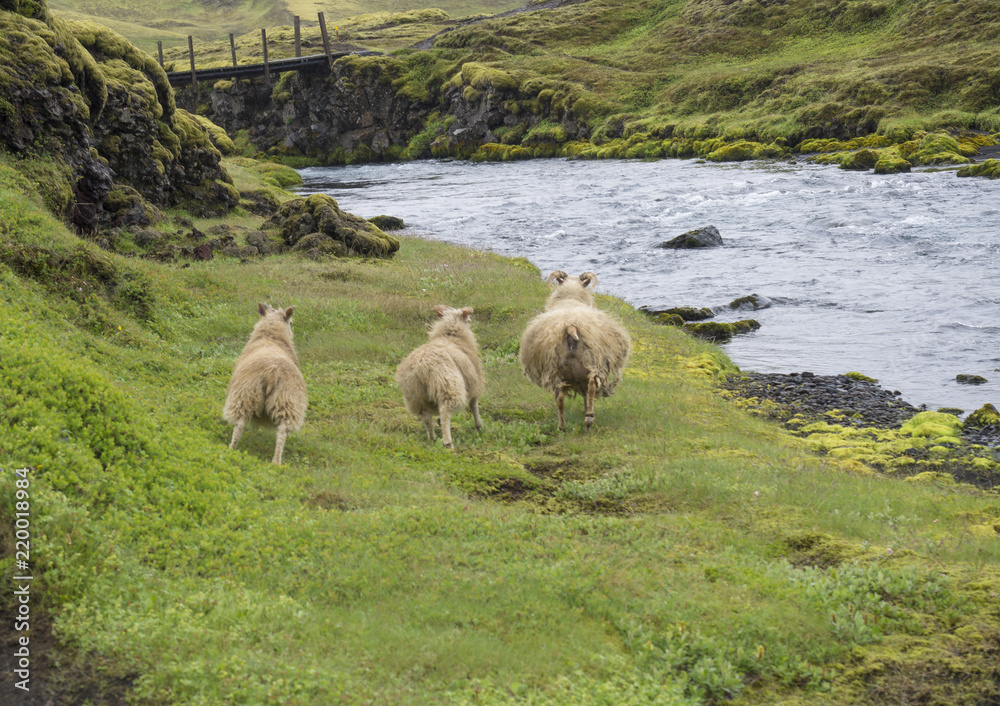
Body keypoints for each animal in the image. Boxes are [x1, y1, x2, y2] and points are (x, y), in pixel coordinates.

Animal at [223, 303, 307, 464]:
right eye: (291, 323)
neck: (271, 338)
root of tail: (272, 372)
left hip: (244, 396)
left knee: (240, 425)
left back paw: (231, 449)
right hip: (285, 401)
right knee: (281, 431)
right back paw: (276, 462)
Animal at [396, 305, 485, 449]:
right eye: (469, 320)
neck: (451, 336)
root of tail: (421, 366)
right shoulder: (474, 383)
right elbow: (474, 405)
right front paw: (479, 426)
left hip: (416, 394)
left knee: (426, 416)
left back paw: (432, 438)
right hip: (448, 385)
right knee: (444, 412)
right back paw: (448, 442)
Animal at [519, 271, 631, 431]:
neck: (571, 298)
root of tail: (570, 326)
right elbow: (586, 393)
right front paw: (585, 410)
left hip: (555, 368)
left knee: (560, 397)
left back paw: (562, 426)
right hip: (593, 360)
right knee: (591, 386)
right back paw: (589, 418)